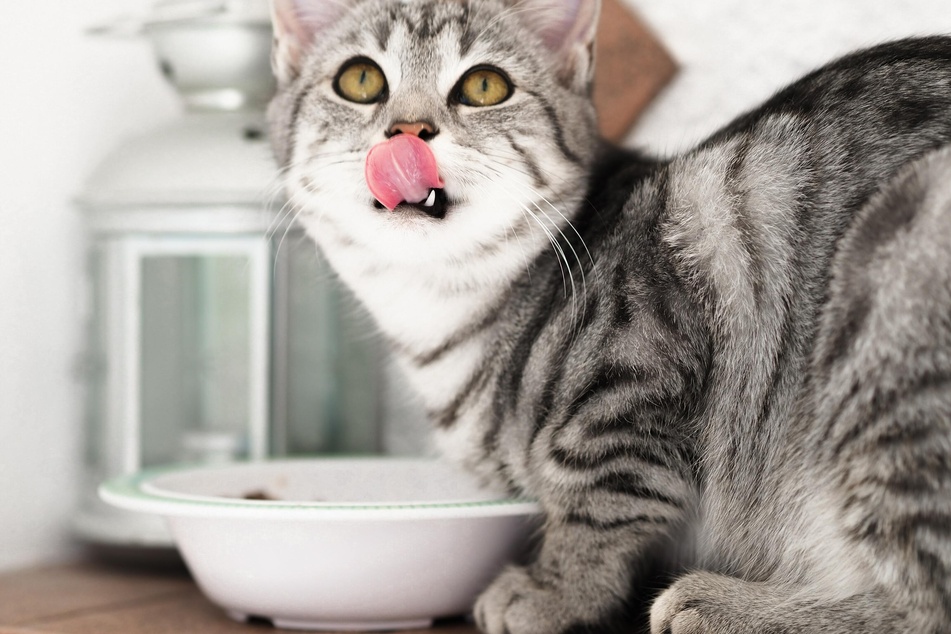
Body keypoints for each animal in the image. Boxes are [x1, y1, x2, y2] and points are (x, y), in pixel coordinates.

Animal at [266, 1, 951, 632]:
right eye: (361, 80)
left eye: (484, 86)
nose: (409, 130)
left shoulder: (633, 382)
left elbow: (598, 499)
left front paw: (555, 591)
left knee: (918, 607)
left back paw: (722, 605)